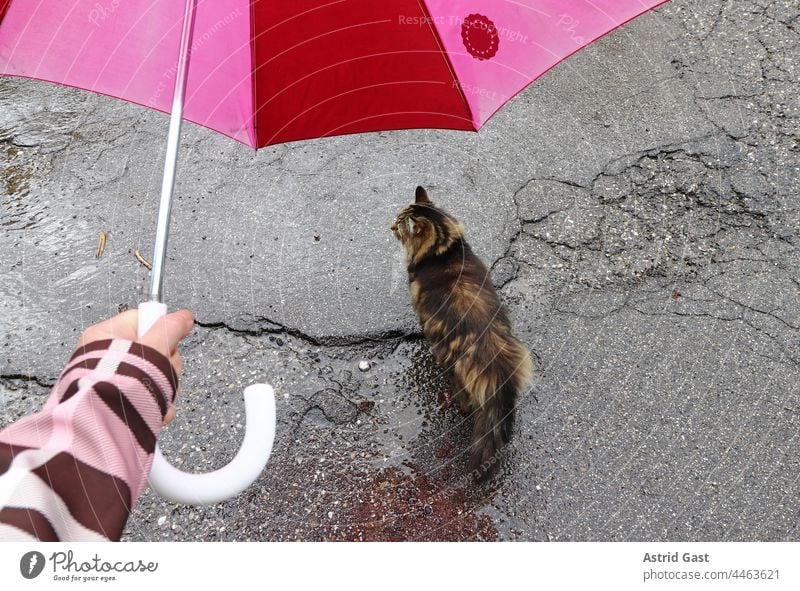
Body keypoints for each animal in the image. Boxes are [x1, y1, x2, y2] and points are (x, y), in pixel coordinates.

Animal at [392, 186, 536, 480]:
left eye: (400, 224)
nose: (389, 226)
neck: (443, 249)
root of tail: (495, 356)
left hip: (453, 367)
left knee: (466, 402)